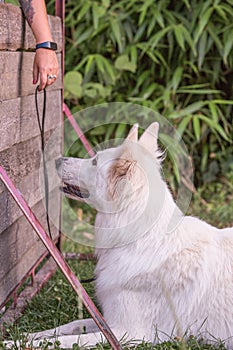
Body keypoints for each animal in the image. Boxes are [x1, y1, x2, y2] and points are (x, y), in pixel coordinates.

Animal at [9, 123, 233, 348]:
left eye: (95, 161)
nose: (57, 159)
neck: (141, 240)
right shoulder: (108, 322)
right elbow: (71, 326)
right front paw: (28, 335)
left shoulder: (128, 333)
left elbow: (68, 341)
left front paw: (15, 343)